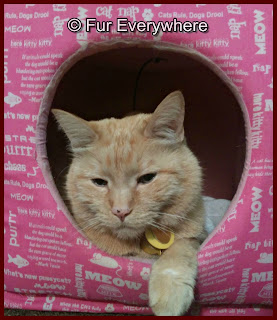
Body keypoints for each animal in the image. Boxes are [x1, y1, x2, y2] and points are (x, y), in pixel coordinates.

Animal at [51, 91, 205, 316]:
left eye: (147, 178)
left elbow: (179, 247)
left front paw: (170, 290)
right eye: (99, 182)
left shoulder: (196, 235)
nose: (120, 211)